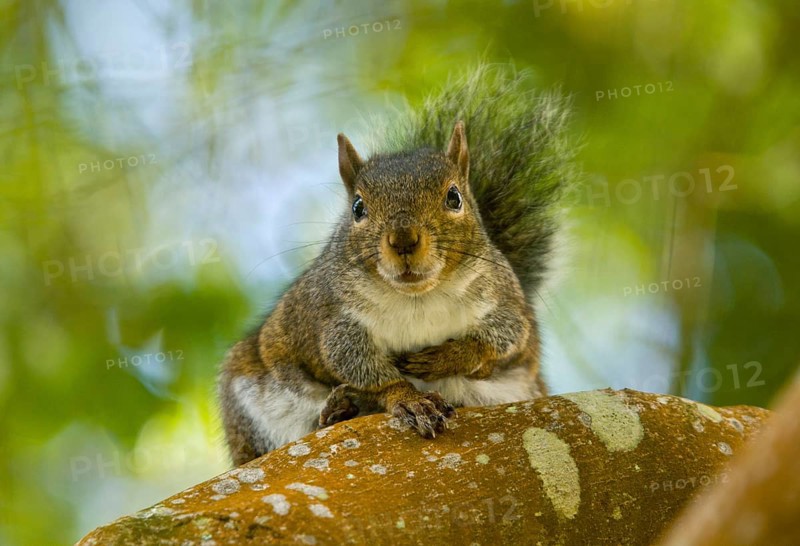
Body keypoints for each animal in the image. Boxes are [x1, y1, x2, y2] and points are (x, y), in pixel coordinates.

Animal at [218, 65, 576, 466]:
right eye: (358, 207)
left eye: (454, 197)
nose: (403, 239)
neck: (417, 297)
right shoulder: (336, 322)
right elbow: (363, 368)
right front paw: (408, 399)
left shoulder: (503, 301)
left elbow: (504, 339)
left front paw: (450, 357)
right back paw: (337, 411)